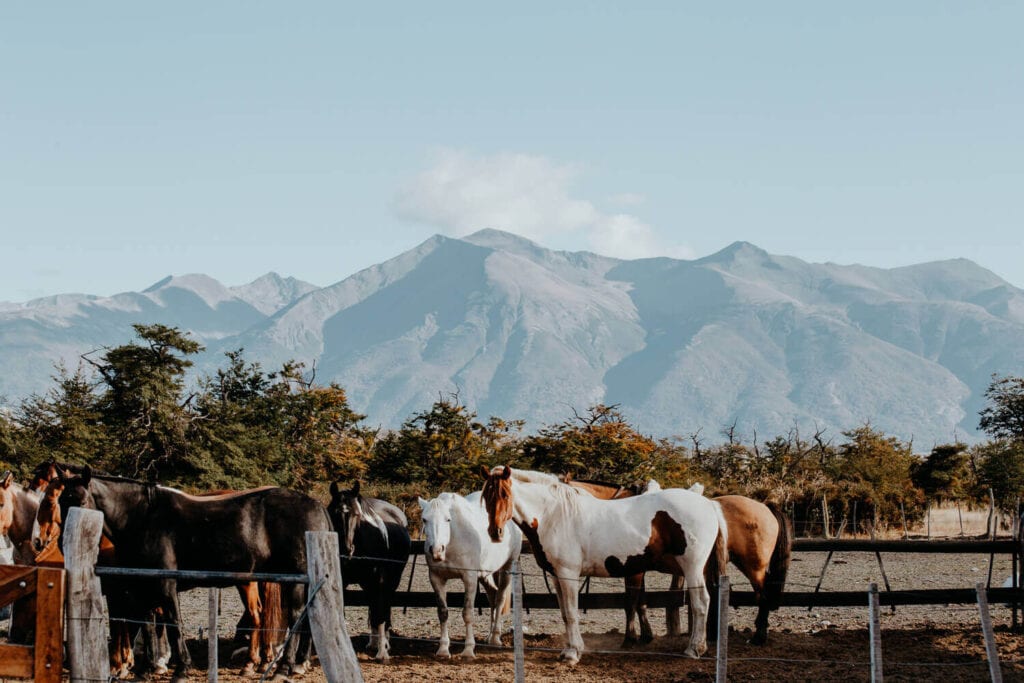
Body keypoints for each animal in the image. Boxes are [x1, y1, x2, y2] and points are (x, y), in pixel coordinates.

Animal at [55, 466, 331, 679]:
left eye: (81, 502)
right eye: (60, 501)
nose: (62, 543)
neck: (143, 517)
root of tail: (316, 505)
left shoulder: (165, 585)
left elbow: (174, 623)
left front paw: (181, 670)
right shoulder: (143, 586)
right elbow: (148, 625)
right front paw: (145, 670)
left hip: (294, 578)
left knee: (296, 616)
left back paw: (283, 668)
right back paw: (295, 665)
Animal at [325, 481, 409, 663]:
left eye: (357, 514)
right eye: (334, 514)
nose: (346, 550)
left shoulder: (380, 580)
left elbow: (380, 614)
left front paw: (382, 654)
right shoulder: (343, 582)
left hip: (391, 581)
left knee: (383, 607)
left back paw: (384, 643)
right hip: (368, 584)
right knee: (372, 605)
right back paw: (373, 642)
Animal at [417, 493, 524, 659]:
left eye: (448, 519)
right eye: (424, 519)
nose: (436, 550)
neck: (453, 540)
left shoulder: (469, 579)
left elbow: (467, 613)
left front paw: (468, 651)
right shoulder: (436, 579)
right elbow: (443, 613)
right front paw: (443, 649)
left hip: (507, 568)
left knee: (500, 599)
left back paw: (495, 638)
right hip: (485, 574)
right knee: (492, 596)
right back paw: (489, 636)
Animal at [481, 466, 729, 663]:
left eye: (505, 494)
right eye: (485, 496)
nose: (495, 533)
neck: (554, 514)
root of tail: (708, 504)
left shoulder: (569, 574)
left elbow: (572, 613)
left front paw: (573, 653)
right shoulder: (556, 576)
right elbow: (565, 614)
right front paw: (570, 649)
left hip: (692, 568)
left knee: (701, 603)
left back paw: (693, 649)